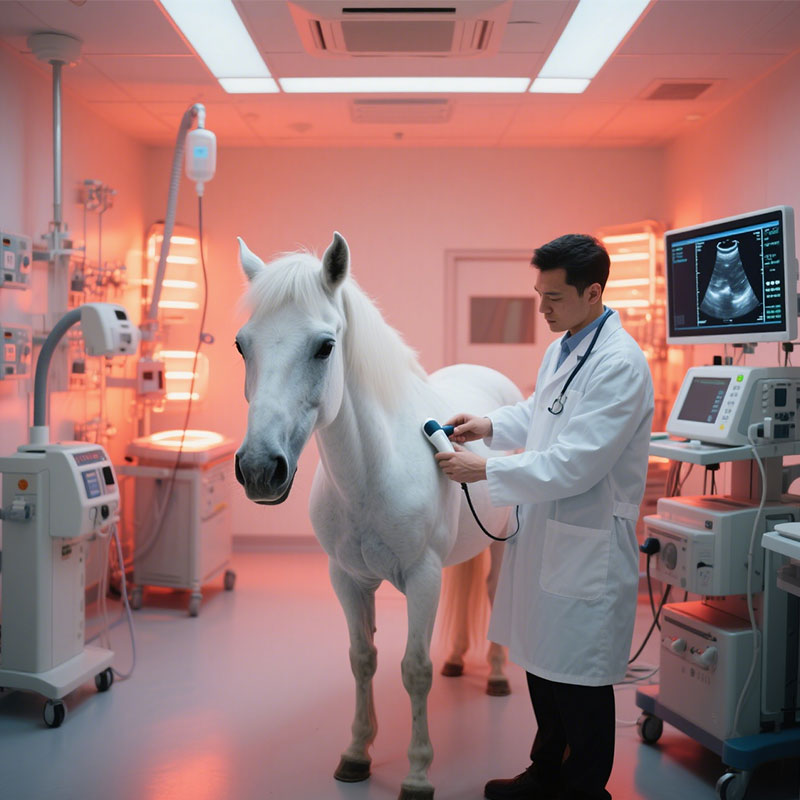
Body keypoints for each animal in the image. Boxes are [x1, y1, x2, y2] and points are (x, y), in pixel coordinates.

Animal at [233, 232, 523, 800]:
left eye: (325, 346)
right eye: (241, 344)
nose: (258, 469)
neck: (371, 473)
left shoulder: (423, 577)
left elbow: (415, 669)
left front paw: (417, 773)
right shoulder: (347, 579)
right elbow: (362, 659)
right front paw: (356, 753)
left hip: (501, 547)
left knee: (492, 595)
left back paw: (498, 677)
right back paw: (458, 660)